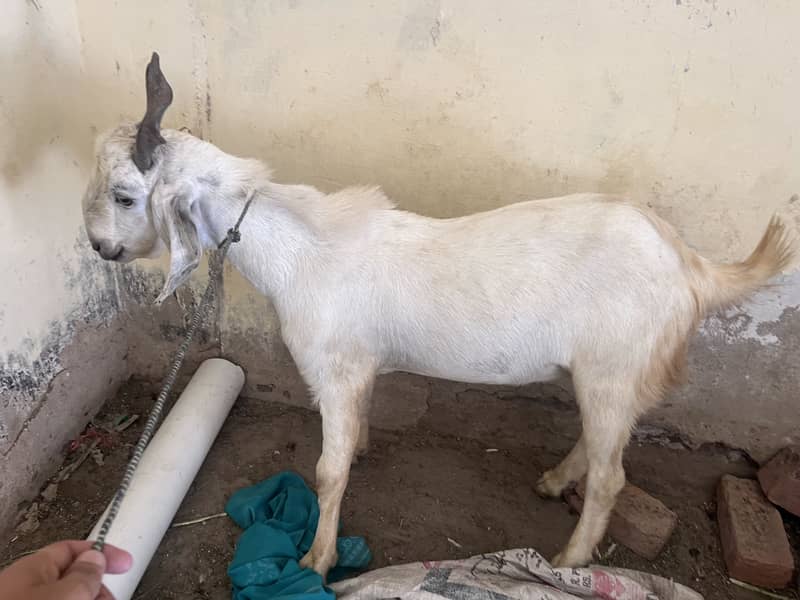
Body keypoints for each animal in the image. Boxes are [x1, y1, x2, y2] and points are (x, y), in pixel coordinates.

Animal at [82, 53, 796, 577]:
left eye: (124, 196)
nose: (99, 248)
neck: (297, 251)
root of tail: (692, 265)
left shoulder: (332, 369)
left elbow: (327, 471)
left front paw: (316, 559)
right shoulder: (360, 370)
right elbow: (357, 432)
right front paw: (361, 451)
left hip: (615, 366)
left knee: (612, 475)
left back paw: (568, 560)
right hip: (604, 374)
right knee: (600, 447)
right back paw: (552, 482)